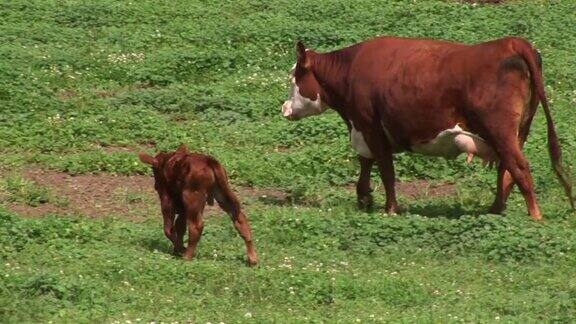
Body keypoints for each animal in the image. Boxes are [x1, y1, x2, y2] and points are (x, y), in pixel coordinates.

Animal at [280, 36, 572, 221]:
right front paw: (364, 199)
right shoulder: (364, 130)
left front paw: (390, 209)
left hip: (501, 131)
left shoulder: (369, 125)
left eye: (294, 77)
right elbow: (366, 164)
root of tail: (511, 42)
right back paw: (495, 210)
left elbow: (385, 170)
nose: (285, 108)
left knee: (519, 168)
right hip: (517, 133)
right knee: (507, 170)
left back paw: (535, 217)